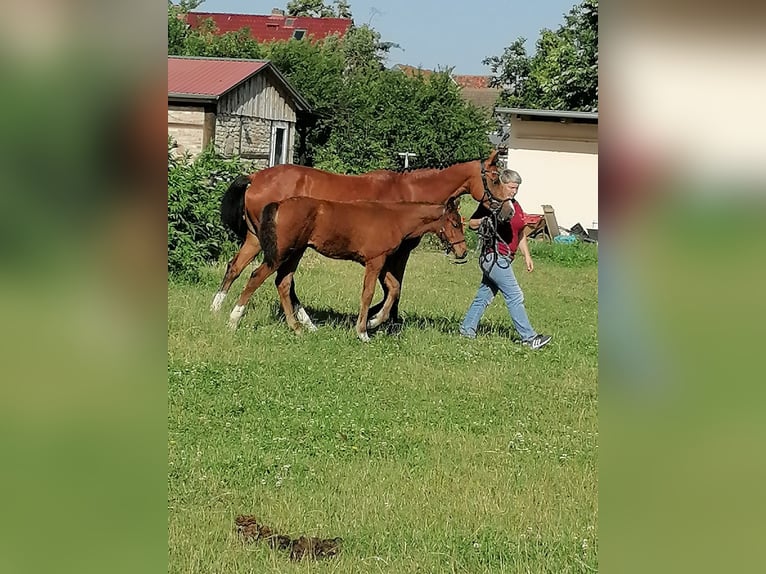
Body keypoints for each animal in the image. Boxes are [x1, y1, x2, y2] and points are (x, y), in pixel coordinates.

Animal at [226, 197, 467, 341]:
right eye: (455, 224)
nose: (462, 252)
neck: (395, 219)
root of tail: (279, 204)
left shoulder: (383, 263)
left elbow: (394, 288)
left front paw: (373, 321)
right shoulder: (375, 261)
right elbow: (368, 294)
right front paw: (362, 332)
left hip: (296, 252)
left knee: (283, 283)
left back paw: (297, 328)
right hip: (281, 252)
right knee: (256, 277)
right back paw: (233, 320)